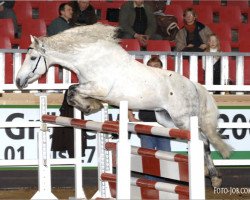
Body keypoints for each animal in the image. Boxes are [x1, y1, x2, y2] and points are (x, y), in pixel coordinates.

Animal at [15, 23, 232, 188]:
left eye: (33, 58)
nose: (18, 81)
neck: (89, 58)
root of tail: (194, 86)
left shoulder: (99, 88)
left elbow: (72, 90)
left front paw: (90, 106)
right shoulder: (91, 87)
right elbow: (72, 92)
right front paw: (90, 106)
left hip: (183, 120)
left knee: (203, 140)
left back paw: (214, 177)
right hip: (166, 119)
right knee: (201, 139)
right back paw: (207, 172)